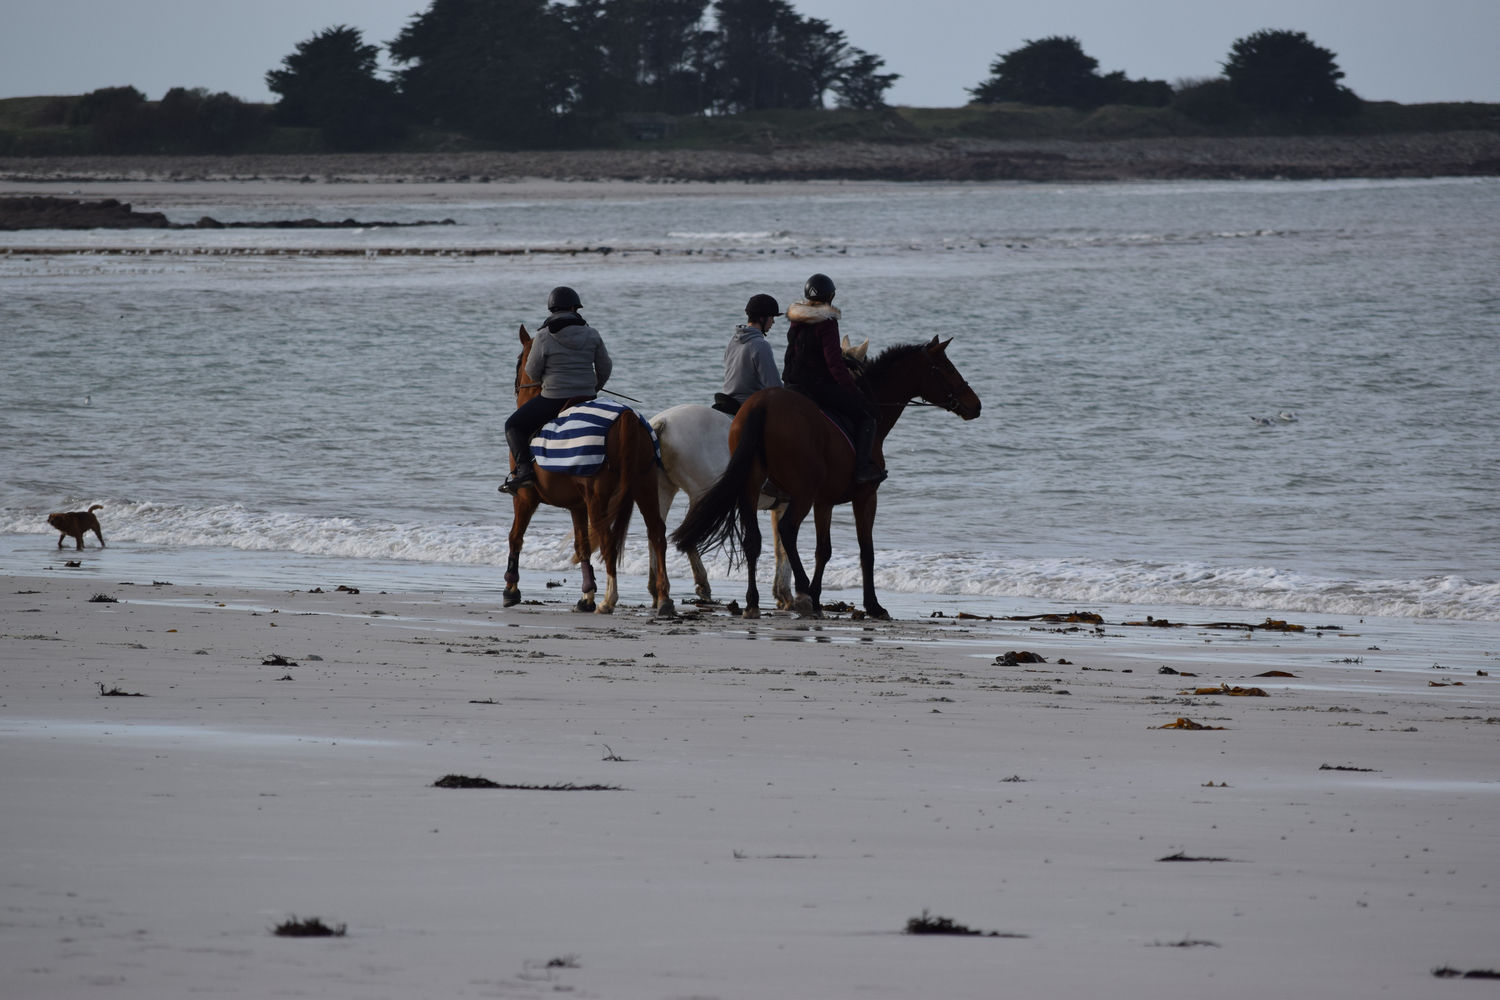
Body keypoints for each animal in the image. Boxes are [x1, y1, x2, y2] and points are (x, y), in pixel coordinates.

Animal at [501, 325, 672, 614]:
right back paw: (663, 599)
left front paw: (511, 589)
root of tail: (626, 418)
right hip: (645, 486)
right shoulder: (576, 505)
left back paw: (609, 599)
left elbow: (516, 537)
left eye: (519, 361)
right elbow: (582, 545)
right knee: (657, 534)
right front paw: (586, 595)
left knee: (608, 539)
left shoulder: (524, 498)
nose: (514, 388)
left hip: (598, 496)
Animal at [672, 338, 978, 617]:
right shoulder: (865, 497)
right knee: (787, 531)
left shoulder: (824, 501)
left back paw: (753, 601)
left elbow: (823, 549)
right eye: (947, 368)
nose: (976, 405)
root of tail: (763, 404)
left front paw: (816, 596)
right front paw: (872, 605)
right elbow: (866, 550)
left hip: (751, 488)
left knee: (752, 540)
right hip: (799, 493)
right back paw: (801, 592)